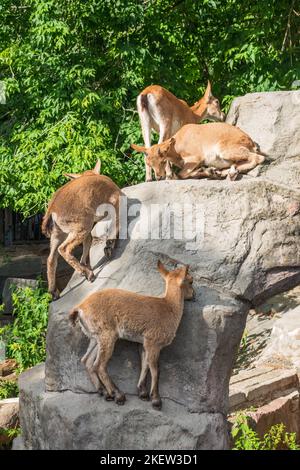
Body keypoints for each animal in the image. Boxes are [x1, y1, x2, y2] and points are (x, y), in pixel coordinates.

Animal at [41, 162, 121, 300]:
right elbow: (116, 223)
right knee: (64, 248)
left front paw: (86, 263)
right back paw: (88, 274)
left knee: (51, 258)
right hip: (81, 226)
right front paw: (109, 247)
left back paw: (54, 292)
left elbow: (88, 242)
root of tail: (52, 209)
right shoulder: (116, 201)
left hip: (59, 233)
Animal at [69, 262, 193, 410]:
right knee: (99, 365)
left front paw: (143, 393)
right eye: (191, 281)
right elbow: (155, 369)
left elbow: (145, 364)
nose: (194, 295)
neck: (169, 308)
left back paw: (104, 392)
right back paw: (117, 395)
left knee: (87, 360)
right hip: (107, 335)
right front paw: (156, 400)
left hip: (95, 338)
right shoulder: (153, 342)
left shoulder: (143, 343)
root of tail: (80, 308)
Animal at [131, 123, 264, 182]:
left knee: (258, 158)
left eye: (163, 161)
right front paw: (210, 171)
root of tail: (250, 142)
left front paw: (208, 171)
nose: (159, 177)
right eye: (148, 163)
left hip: (224, 149)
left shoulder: (195, 158)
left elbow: (180, 175)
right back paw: (227, 173)